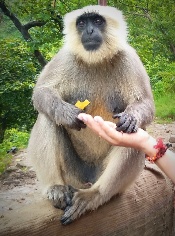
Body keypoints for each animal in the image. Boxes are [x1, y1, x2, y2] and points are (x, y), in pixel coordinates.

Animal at [27, 5, 154, 225]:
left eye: (97, 21)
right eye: (82, 23)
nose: (89, 31)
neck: (97, 61)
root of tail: (89, 179)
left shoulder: (129, 57)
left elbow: (146, 105)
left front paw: (131, 118)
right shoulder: (65, 56)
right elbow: (42, 93)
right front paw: (66, 113)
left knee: (135, 132)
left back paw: (95, 194)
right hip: (73, 175)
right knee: (47, 118)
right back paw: (56, 188)